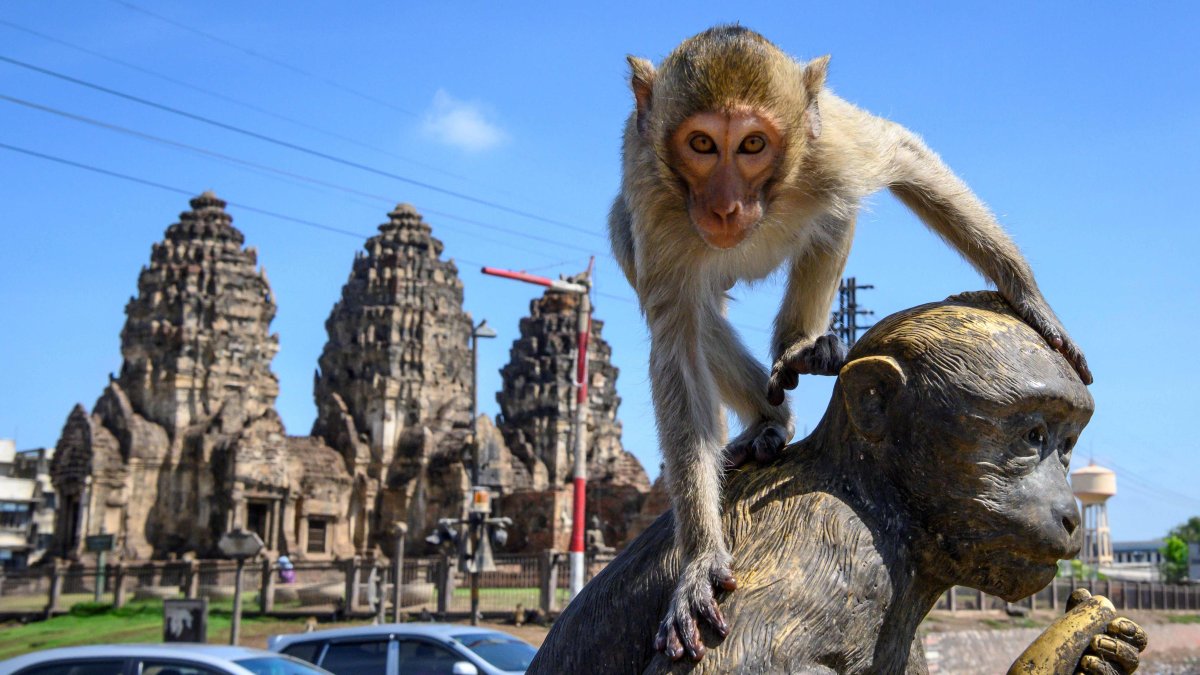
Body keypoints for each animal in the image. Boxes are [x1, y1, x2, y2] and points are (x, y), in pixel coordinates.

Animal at [608, 26, 1092, 661]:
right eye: (702, 144)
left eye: (753, 144)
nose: (725, 206)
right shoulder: (656, 201)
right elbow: (677, 343)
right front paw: (701, 561)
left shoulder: (831, 149)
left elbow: (903, 154)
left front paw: (1029, 296)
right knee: (682, 297)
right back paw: (770, 418)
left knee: (835, 212)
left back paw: (801, 347)